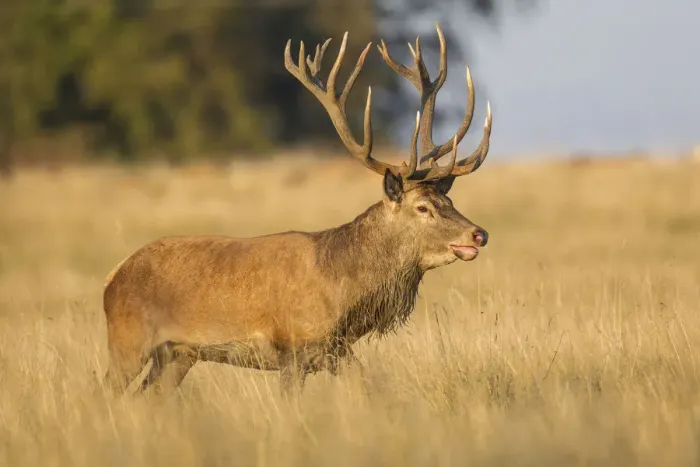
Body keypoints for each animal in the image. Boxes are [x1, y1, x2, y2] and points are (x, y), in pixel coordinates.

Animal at [101, 24, 492, 398]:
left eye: (449, 202)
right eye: (422, 207)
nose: (479, 234)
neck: (343, 291)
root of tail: (113, 277)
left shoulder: (336, 350)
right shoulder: (294, 349)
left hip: (178, 354)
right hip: (128, 337)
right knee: (105, 390)